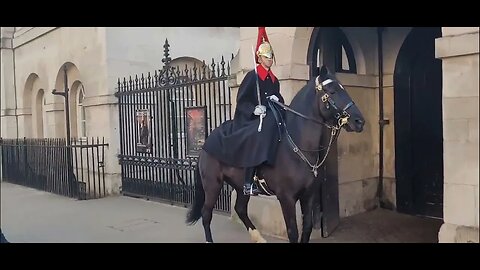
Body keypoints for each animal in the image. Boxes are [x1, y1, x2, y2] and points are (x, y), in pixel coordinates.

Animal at [186, 65, 366, 243]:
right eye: (332, 91)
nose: (359, 121)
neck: (299, 146)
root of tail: (206, 142)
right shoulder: (286, 198)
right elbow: (293, 232)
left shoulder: (308, 195)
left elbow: (306, 228)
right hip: (212, 184)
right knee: (206, 214)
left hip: (239, 186)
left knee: (240, 209)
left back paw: (258, 237)